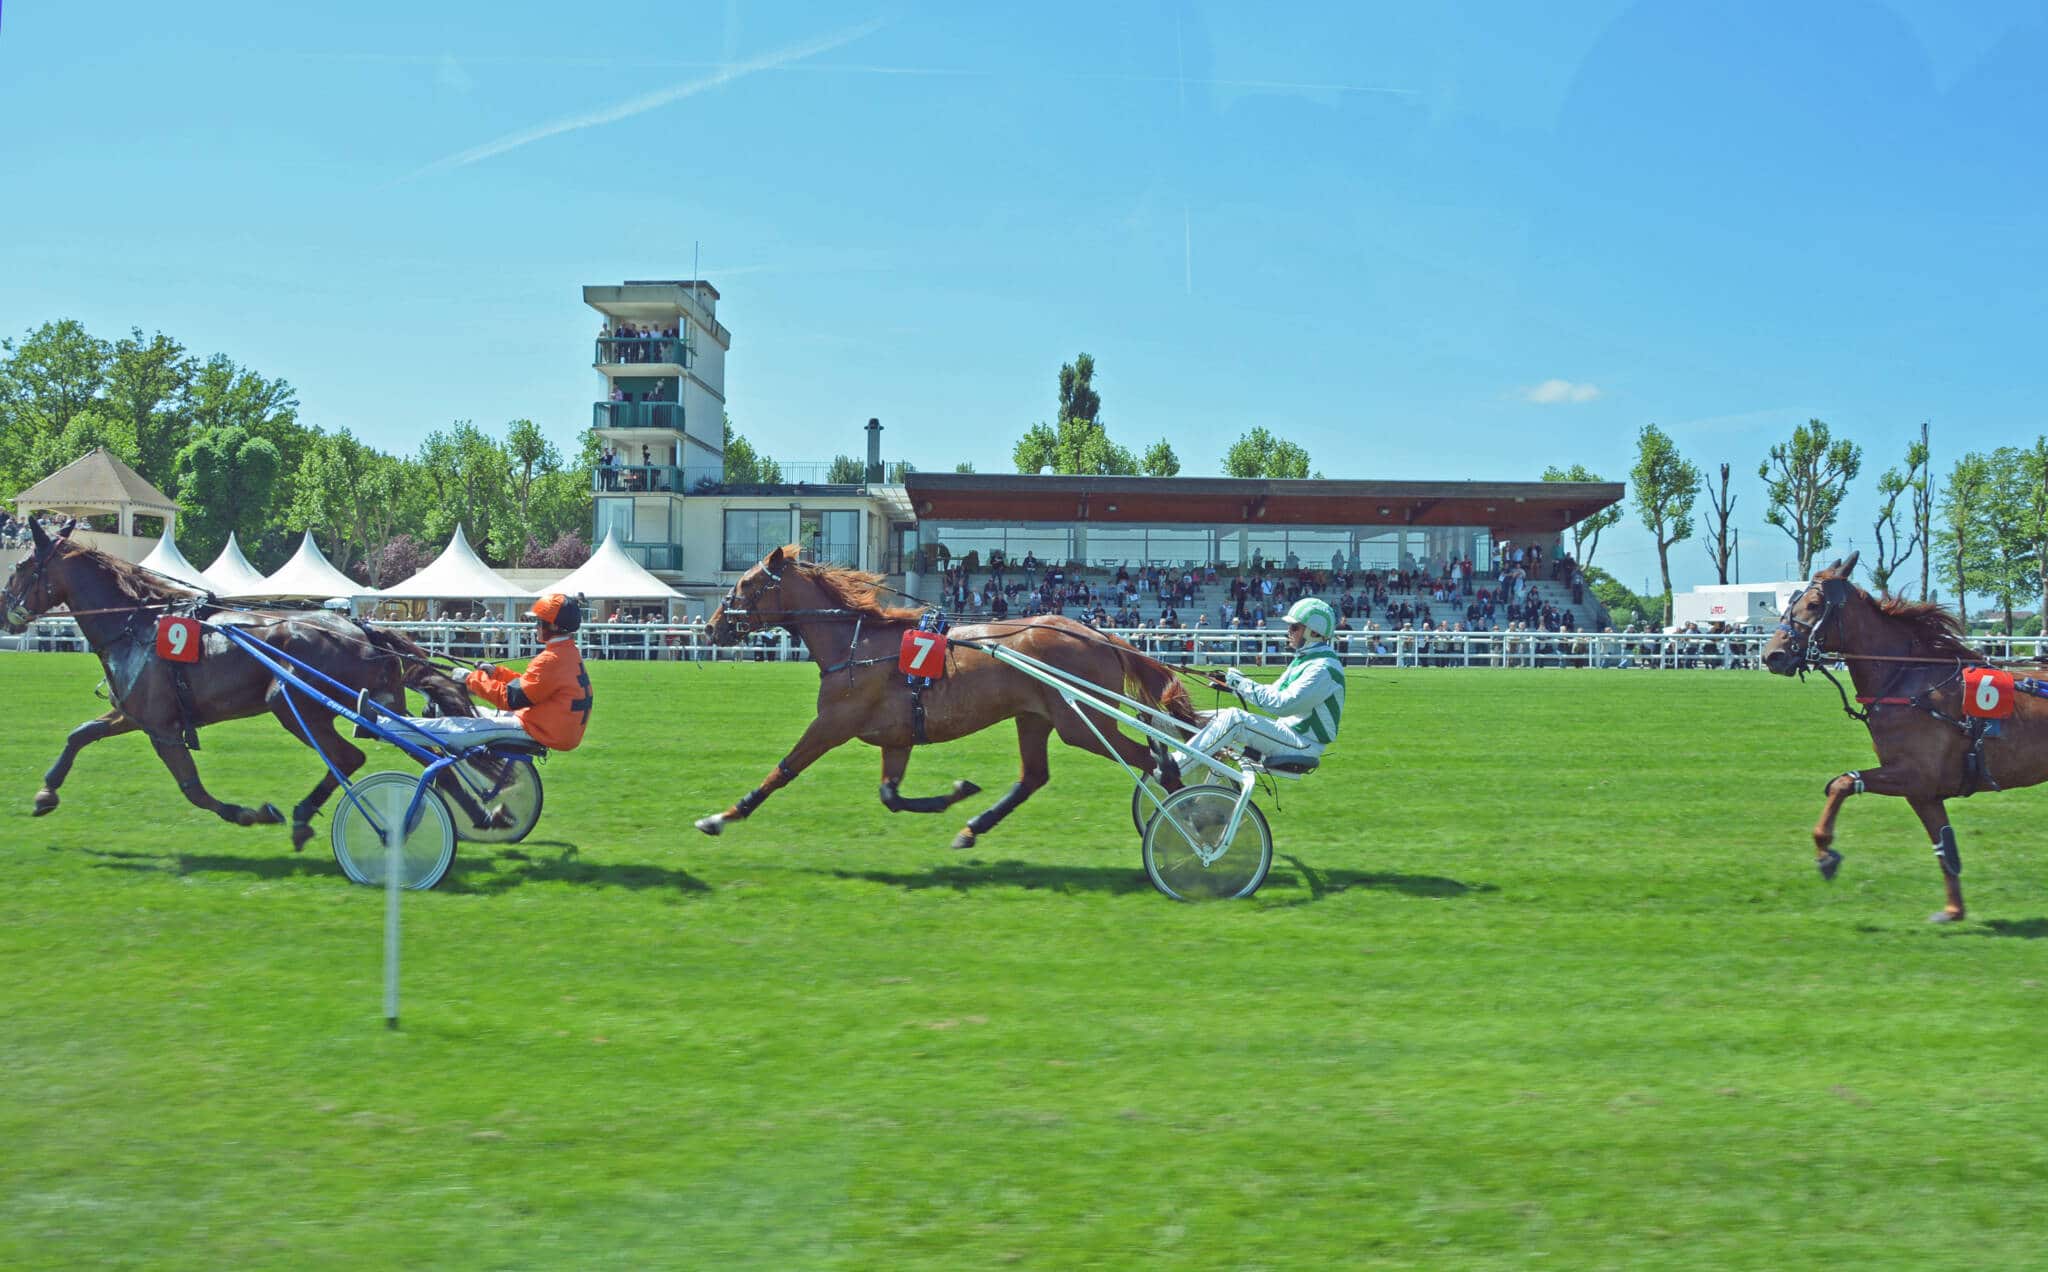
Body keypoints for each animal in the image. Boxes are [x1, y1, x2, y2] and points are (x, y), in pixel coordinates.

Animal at [2, 516, 479, 843]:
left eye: (21, 565)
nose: (6, 610)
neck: (138, 624)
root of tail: (359, 628)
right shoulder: (136, 715)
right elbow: (80, 733)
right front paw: (46, 793)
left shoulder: (161, 728)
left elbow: (193, 789)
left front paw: (251, 813)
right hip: (375, 708)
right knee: (428, 754)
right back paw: (478, 810)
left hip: (291, 703)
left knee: (350, 758)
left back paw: (307, 816)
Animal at [696, 544, 1196, 847]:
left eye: (744, 584)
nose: (711, 627)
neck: (857, 645)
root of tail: (1099, 635)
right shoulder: (895, 737)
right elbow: (890, 794)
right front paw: (956, 793)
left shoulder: (834, 723)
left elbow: (782, 771)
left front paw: (721, 816)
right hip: (1035, 717)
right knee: (1034, 776)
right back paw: (972, 828)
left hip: (1083, 724)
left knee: (1155, 762)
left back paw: (1192, 821)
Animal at [1761, 548, 2048, 917]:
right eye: (1792, 600)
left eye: (1812, 603)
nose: (1773, 654)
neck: (1908, 681)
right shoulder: (1923, 792)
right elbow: (1944, 846)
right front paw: (1953, 910)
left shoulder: (1915, 775)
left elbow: (1843, 783)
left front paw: (1826, 853)